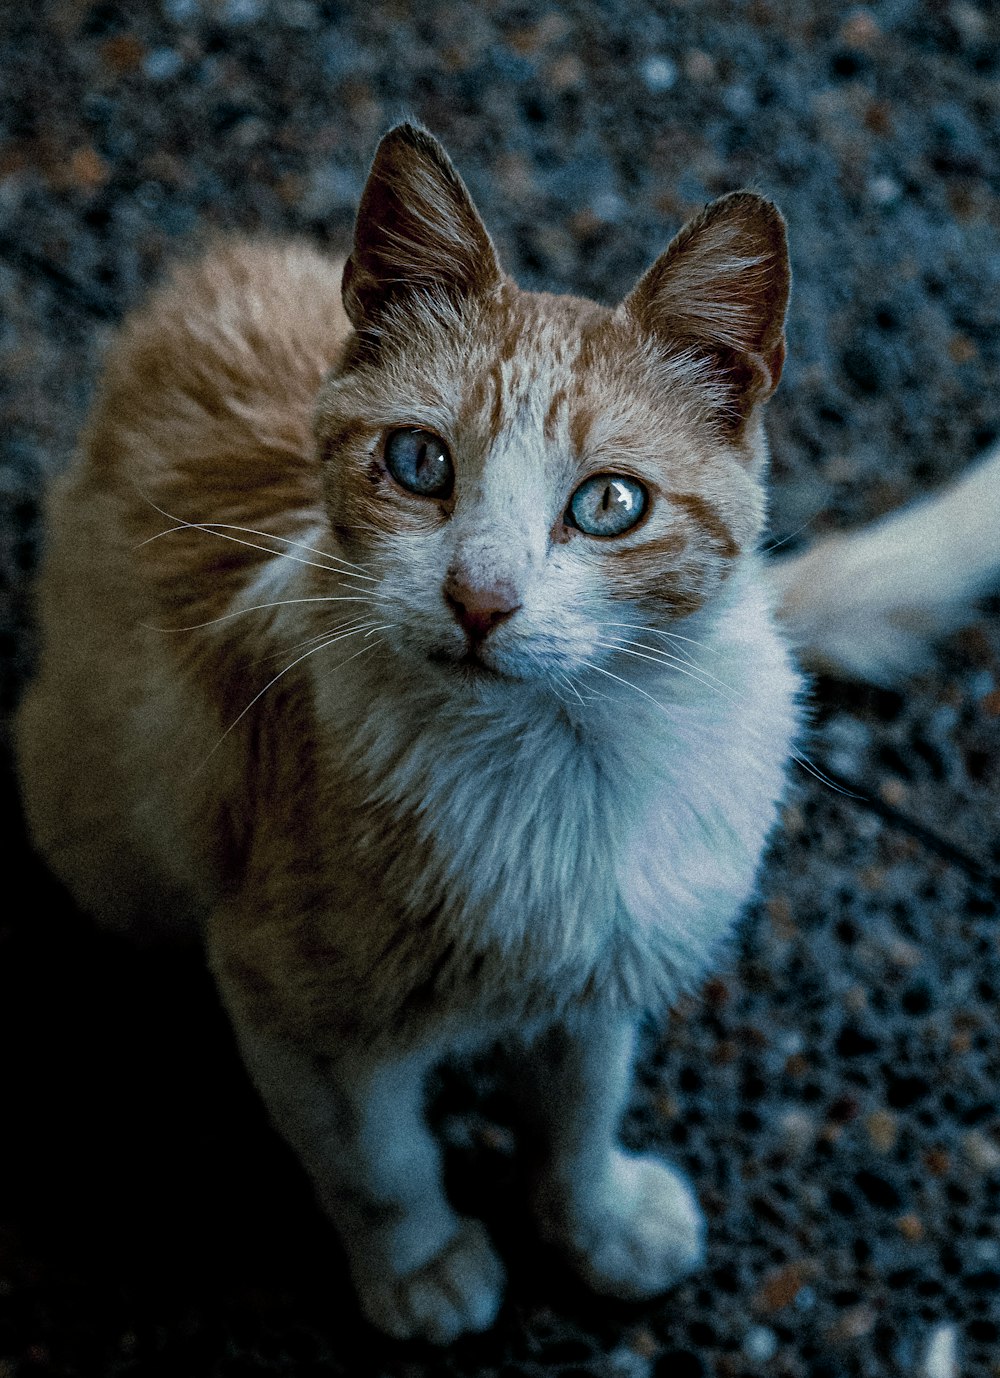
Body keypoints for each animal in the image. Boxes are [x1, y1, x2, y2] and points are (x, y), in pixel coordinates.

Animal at [15, 124, 1000, 1339]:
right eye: (419, 463)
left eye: (610, 504)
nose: (480, 600)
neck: (568, 762)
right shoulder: (288, 1005)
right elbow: (378, 1161)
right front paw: (424, 1267)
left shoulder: (606, 969)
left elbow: (579, 1107)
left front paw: (596, 1221)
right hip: (101, 842)